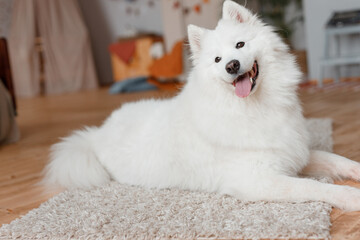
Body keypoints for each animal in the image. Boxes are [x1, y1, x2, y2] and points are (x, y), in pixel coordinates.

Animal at [44, 0, 360, 211]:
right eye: (217, 60)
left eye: (240, 45)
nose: (232, 66)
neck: (254, 106)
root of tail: (97, 133)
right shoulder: (257, 179)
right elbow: (312, 185)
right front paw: (350, 197)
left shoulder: (295, 151)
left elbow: (337, 160)